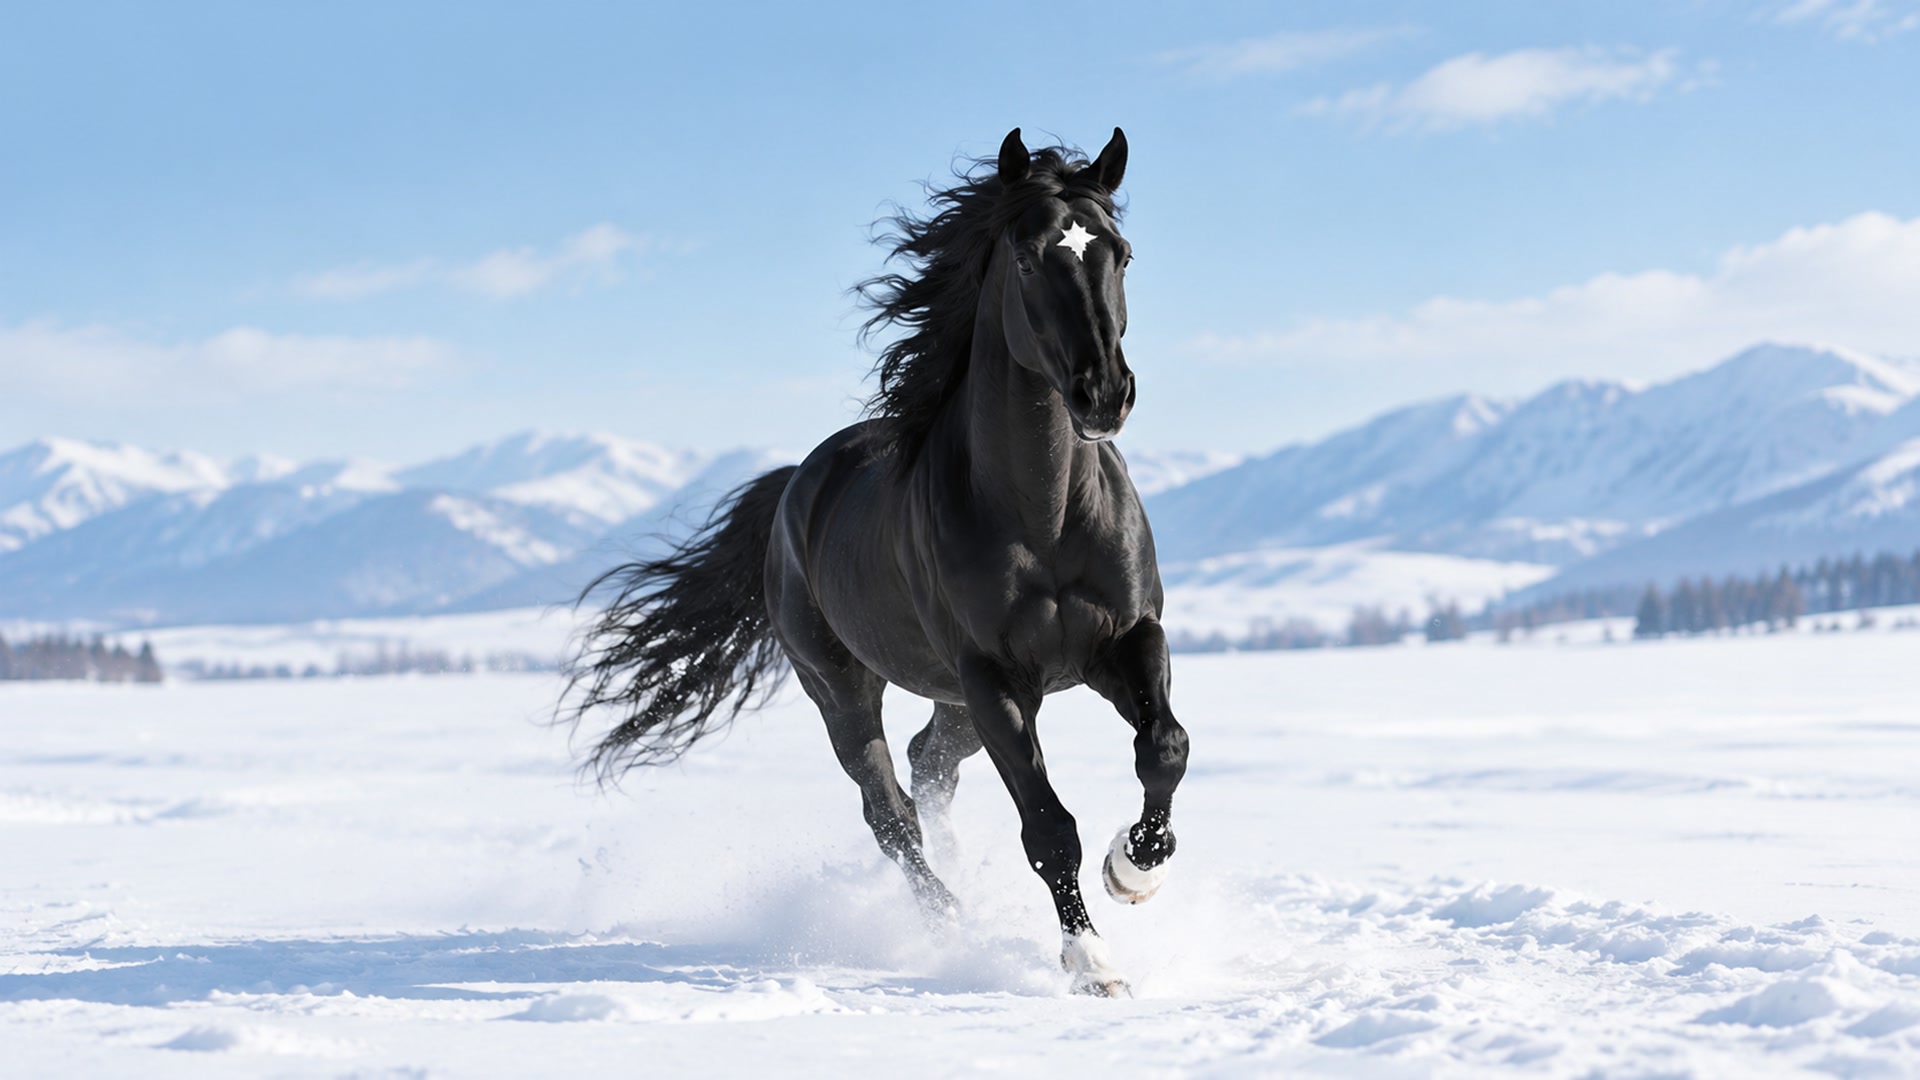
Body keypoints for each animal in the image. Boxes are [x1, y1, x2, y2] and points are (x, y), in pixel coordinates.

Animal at [565, 128, 1189, 997]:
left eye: (1120, 253)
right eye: (1028, 257)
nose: (1103, 393)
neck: (1045, 515)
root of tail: (793, 489)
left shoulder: (1127, 641)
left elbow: (1165, 748)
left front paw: (1133, 869)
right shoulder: (995, 680)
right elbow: (1046, 827)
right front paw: (1092, 964)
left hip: (957, 701)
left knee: (930, 766)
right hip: (844, 690)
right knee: (890, 811)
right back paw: (946, 918)